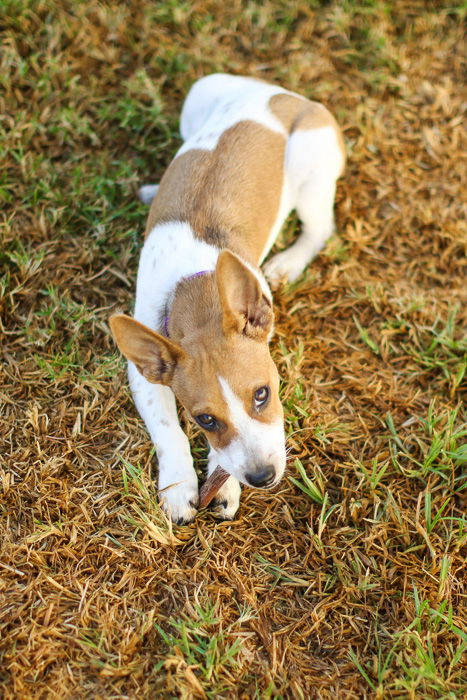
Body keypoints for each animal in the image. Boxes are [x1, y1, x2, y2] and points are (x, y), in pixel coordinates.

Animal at [109, 74, 344, 524]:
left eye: (262, 394)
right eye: (205, 419)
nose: (262, 477)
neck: (194, 285)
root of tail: (280, 94)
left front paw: (224, 483)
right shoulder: (144, 376)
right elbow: (167, 427)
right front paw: (179, 485)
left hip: (311, 169)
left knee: (320, 227)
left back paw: (288, 262)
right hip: (200, 94)